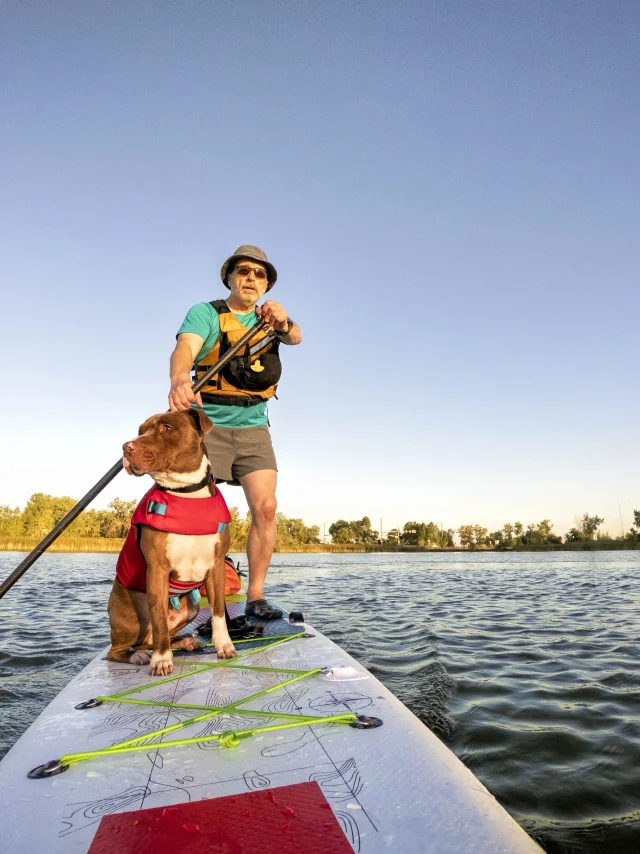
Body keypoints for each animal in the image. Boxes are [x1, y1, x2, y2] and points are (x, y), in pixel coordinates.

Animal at [107, 408, 238, 676]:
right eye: (140, 430)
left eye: (166, 428)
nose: (126, 447)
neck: (186, 492)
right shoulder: (157, 569)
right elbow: (158, 617)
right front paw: (161, 660)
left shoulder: (216, 566)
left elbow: (219, 612)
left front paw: (224, 646)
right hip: (130, 616)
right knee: (119, 650)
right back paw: (139, 655)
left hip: (191, 608)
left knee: (162, 635)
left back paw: (186, 641)